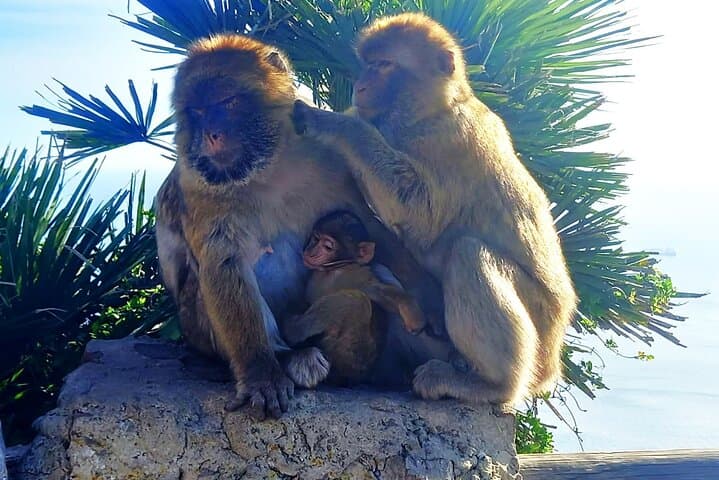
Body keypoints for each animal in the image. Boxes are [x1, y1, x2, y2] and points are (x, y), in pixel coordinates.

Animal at [280, 210, 426, 385]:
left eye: (328, 246)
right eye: (315, 238)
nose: (310, 251)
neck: (333, 270)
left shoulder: (357, 274)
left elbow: (377, 292)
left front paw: (411, 313)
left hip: (348, 356)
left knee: (357, 302)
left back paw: (293, 330)